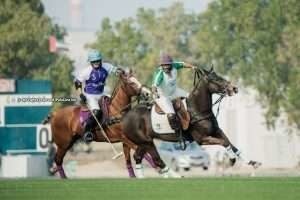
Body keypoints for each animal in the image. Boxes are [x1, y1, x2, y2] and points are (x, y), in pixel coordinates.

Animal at [121, 67, 260, 178]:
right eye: (215, 79)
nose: (234, 88)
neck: (197, 110)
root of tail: (124, 116)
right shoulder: (202, 139)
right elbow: (225, 142)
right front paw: (231, 160)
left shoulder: (217, 131)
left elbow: (232, 145)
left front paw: (252, 163)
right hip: (147, 142)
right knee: (157, 160)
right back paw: (177, 177)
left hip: (143, 143)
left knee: (138, 157)